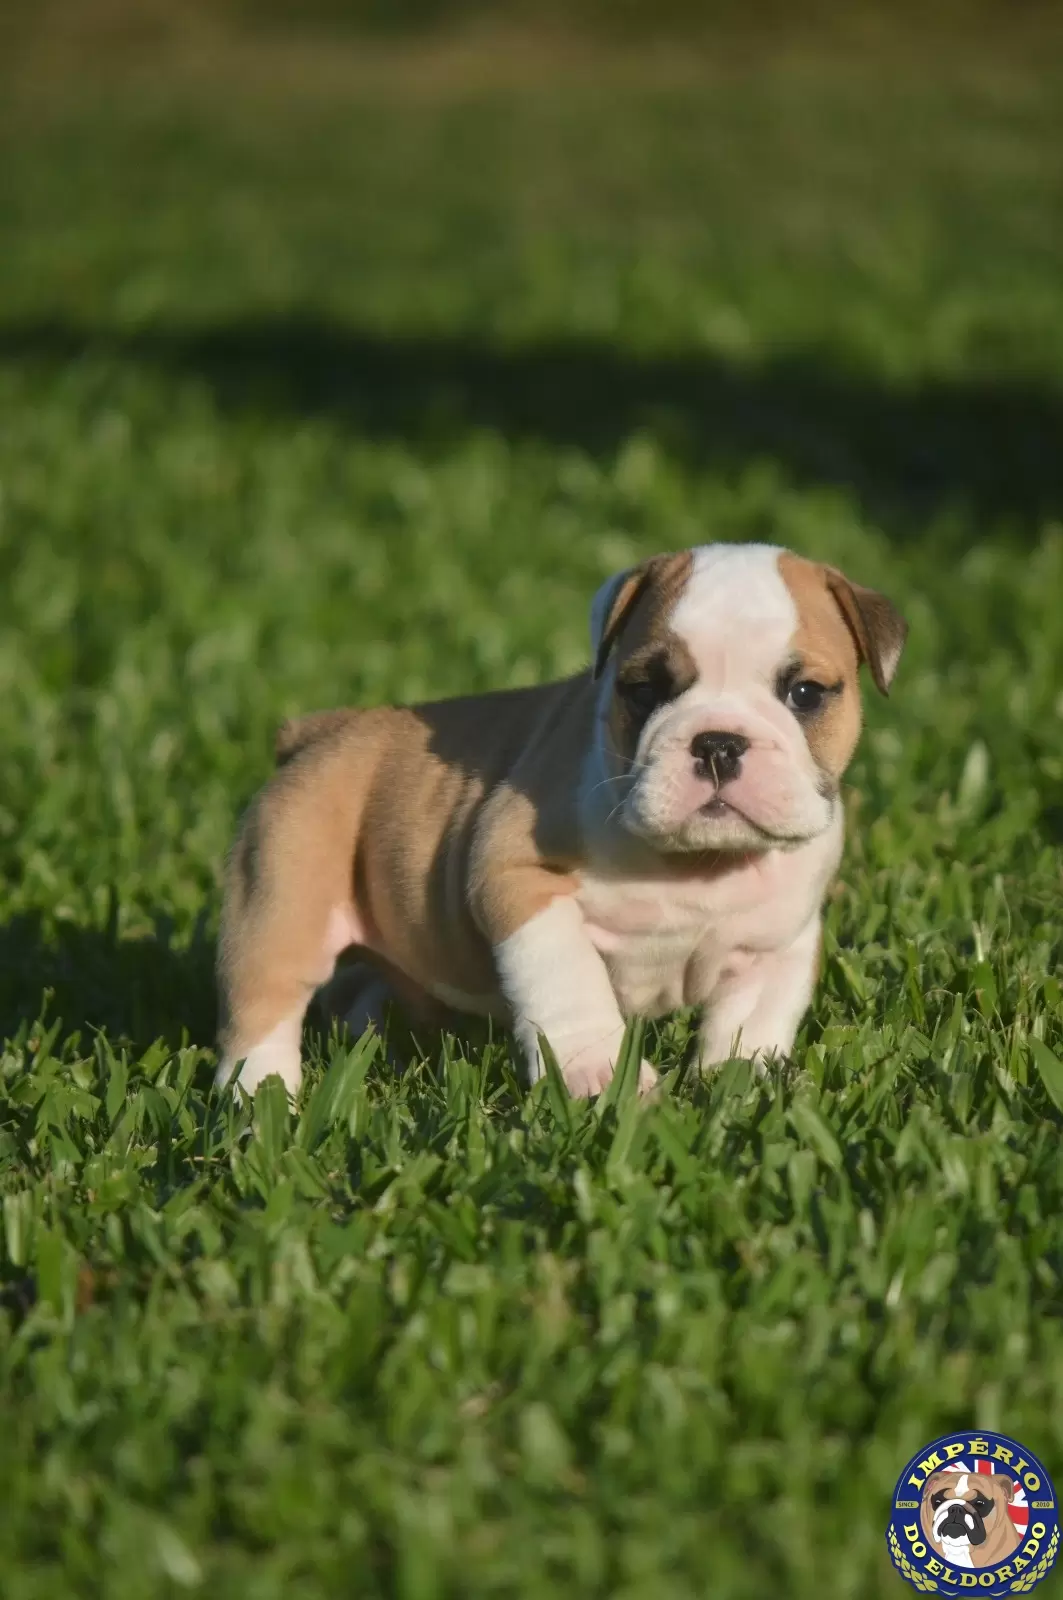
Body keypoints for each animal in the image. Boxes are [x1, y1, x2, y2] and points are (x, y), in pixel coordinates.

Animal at [214, 544, 902, 1094]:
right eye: (645, 690)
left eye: (805, 694)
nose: (718, 743)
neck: (699, 863)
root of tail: (319, 733)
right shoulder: (518, 880)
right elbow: (569, 979)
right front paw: (599, 1073)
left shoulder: (778, 942)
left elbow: (752, 1021)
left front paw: (742, 1087)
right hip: (283, 896)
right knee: (263, 1010)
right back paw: (264, 1104)